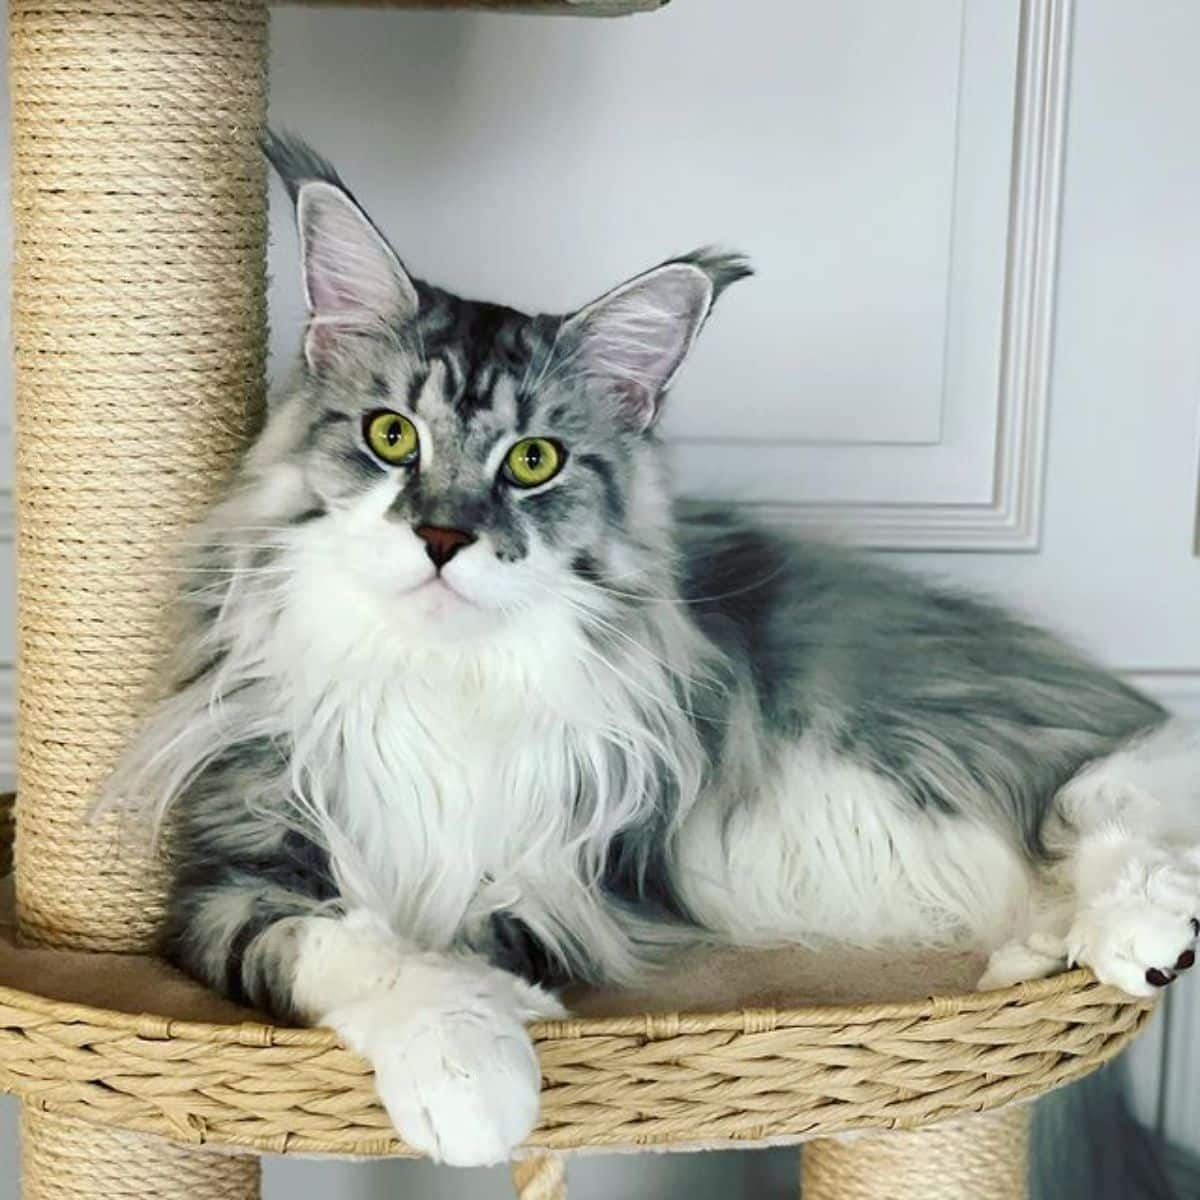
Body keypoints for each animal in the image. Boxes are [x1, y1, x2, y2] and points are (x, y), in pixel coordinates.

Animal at [103, 136, 1200, 1166]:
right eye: (390, 436)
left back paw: (1146, 929)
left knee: (1100, 784)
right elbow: (347, 943)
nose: (444, 538)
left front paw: (486, 1054)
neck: (445, 680)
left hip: (909, 738)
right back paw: (1059, 945)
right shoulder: (230, 872)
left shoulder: (571, 876)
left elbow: (465, 937)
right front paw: (467, 1068)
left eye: (532, 462)